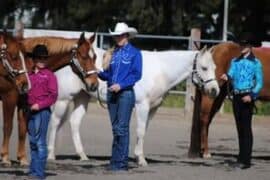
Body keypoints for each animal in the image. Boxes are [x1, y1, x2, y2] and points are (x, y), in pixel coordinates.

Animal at [0, 32, 98, 166]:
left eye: (95, 57)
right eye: (83, 56)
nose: (94, 84)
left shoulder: (23, 102)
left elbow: (22, 128)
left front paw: (22, 159)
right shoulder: (9, 98)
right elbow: (8, 127)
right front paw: (5, 158)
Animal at [47, 46, 219, 166]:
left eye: (215, 68)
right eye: (204, 68)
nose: (214, 90)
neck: (160, 70)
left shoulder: (152, 109)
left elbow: (144, 131)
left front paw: (137, 156)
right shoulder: (142, 106)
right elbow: (140, 131)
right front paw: (141, 160)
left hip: (82, 97)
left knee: (74, 123)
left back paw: (83, 156)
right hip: (63, 100)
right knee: (54, 123)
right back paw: (50, 155)